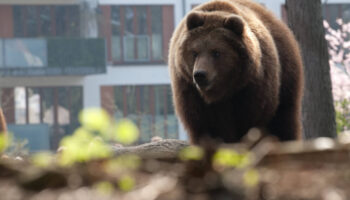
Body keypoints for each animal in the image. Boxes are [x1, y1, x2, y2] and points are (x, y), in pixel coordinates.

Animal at [168, 0, 302, 144]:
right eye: (195, 52)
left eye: (216, 52)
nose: (200, 75)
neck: (222, 92)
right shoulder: (190, 90)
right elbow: (205, 124)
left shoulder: (252, 87)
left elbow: (251, 120)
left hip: (286, 77)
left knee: (284, 118)